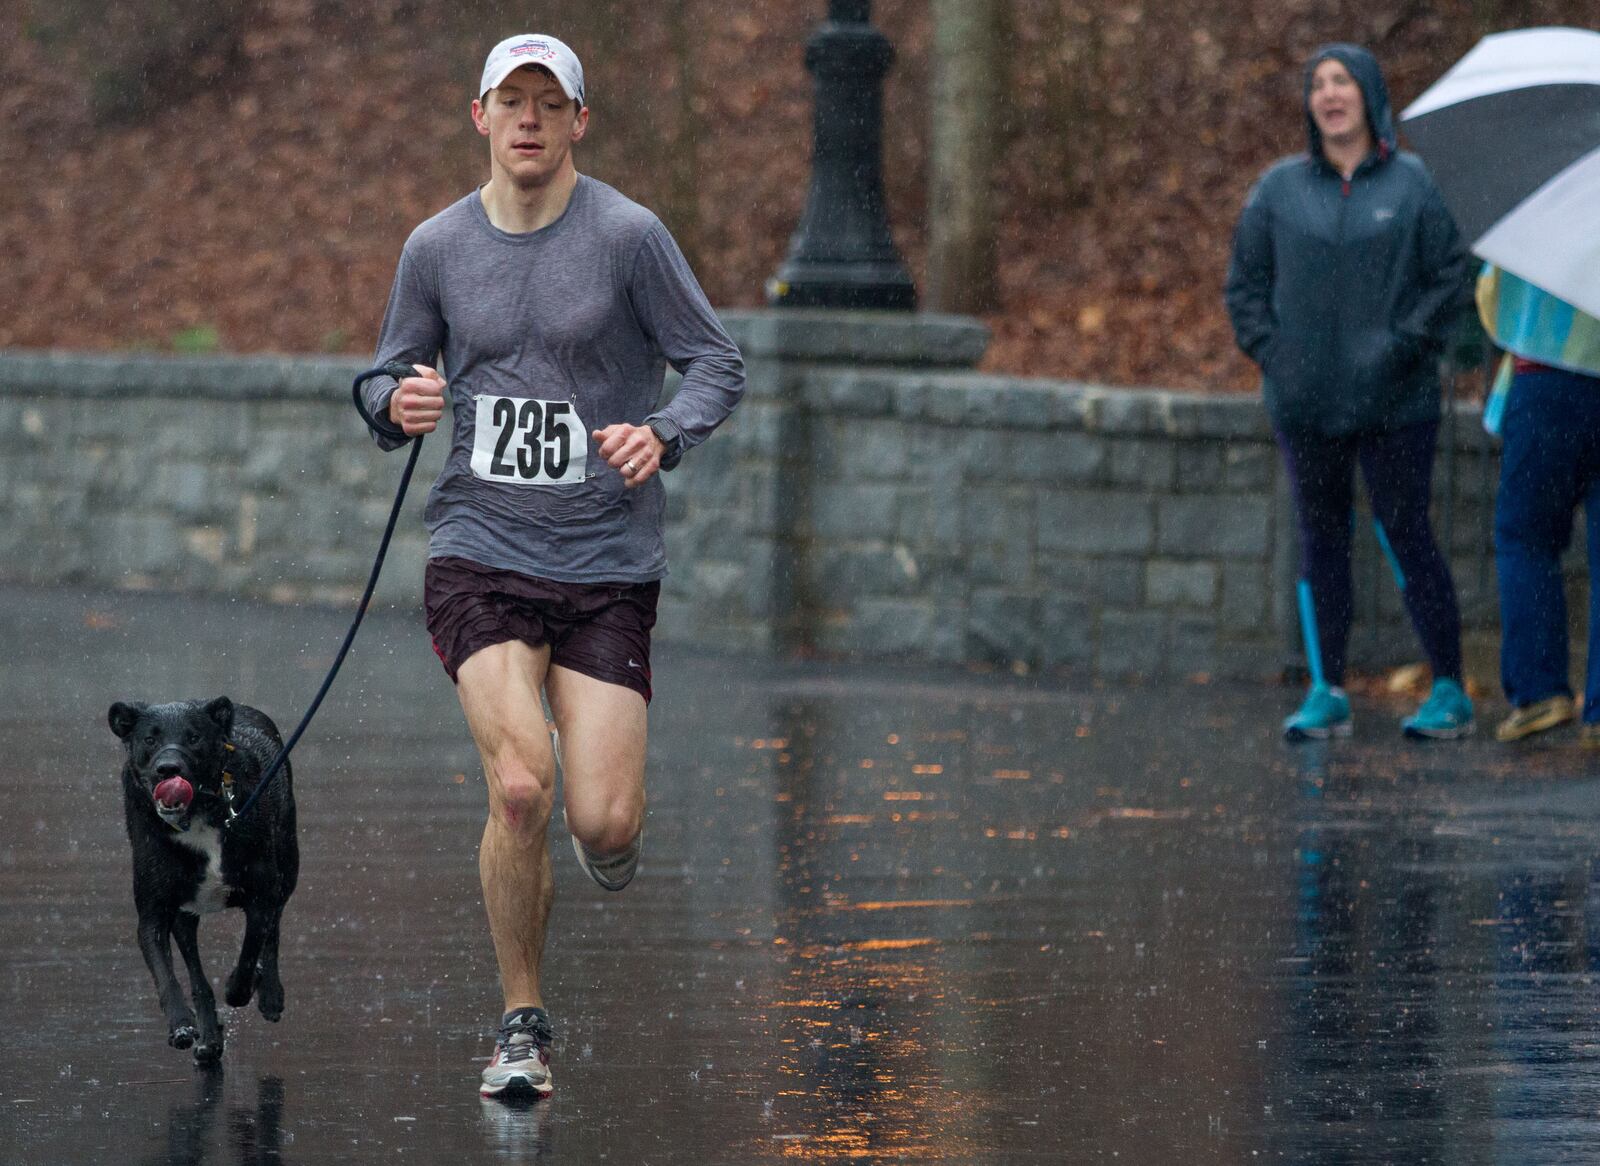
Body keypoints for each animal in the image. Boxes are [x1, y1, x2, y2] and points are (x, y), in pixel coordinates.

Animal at [107, 697, 300, 1062]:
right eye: (149, 739)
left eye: (194, 737)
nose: (168, 769)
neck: (198, 816)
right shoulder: (154, 913)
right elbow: (167, 976)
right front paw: (182, 1025)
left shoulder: (262, 895)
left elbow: (251, 951)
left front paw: (242, 986)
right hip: (185, 916)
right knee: (196, 974)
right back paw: (209, 1038)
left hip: (287, 868)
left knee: (275, 928)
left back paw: (269, 995)